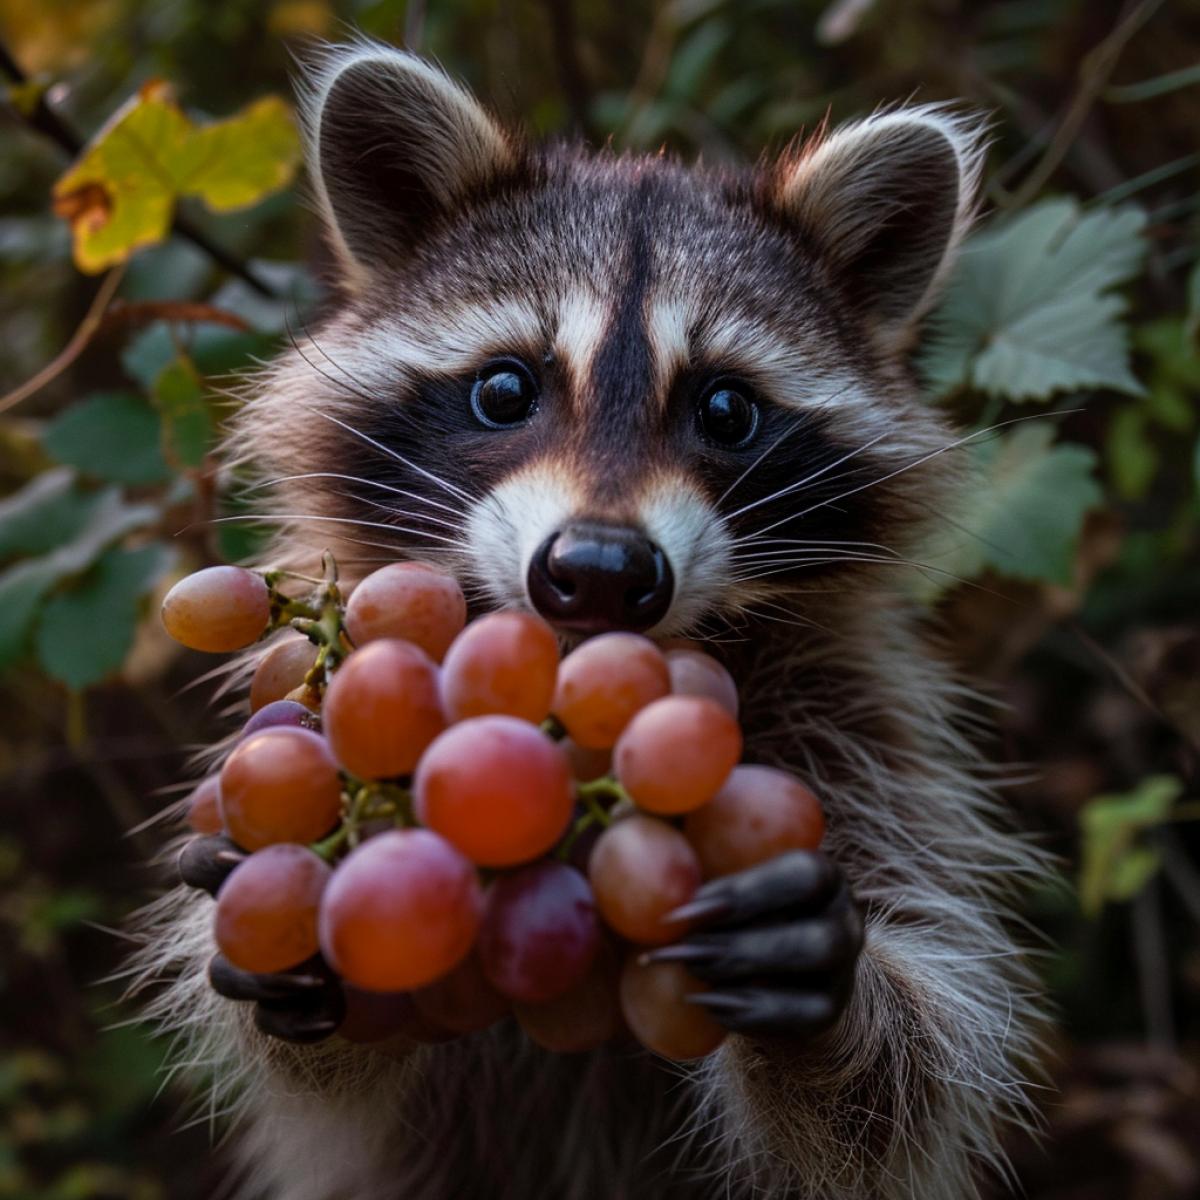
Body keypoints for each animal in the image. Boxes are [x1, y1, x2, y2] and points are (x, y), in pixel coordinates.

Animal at [132, 40, 1047, 1200]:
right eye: (504, 389)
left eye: (726, 409)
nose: (602, 571)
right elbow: (339, 1087)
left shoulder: (863, 728)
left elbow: (909, 1088)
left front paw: (833, 1011)